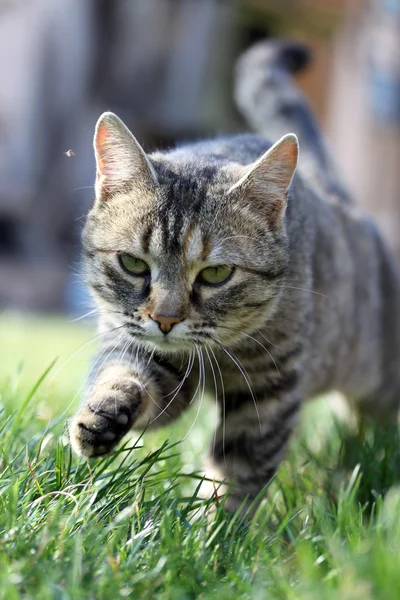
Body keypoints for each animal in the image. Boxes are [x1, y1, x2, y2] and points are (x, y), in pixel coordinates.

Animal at [69, 38, 400, 510]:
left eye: (216, 274)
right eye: (134, 264)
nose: (165, 320)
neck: (216, 354)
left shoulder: (268, 392)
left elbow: (236, 473)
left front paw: (219, 524)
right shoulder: (147, 356)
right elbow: (122, 372)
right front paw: (101, 414)